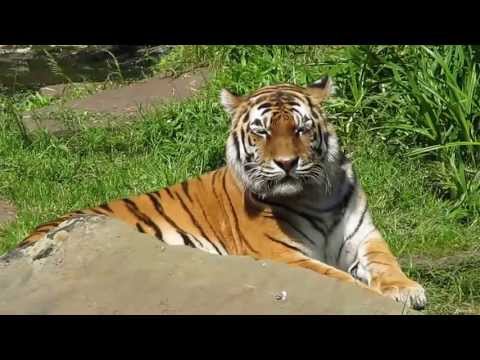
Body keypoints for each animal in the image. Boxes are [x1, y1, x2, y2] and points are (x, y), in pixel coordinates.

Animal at [17, 76, 428, 310]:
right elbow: (337, 280)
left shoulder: (364, 237)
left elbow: (386, 264)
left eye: (300, 129)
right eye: (262, 131)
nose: (287, 163)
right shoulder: (282, 254)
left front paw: (407, 290)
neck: (315, 195)